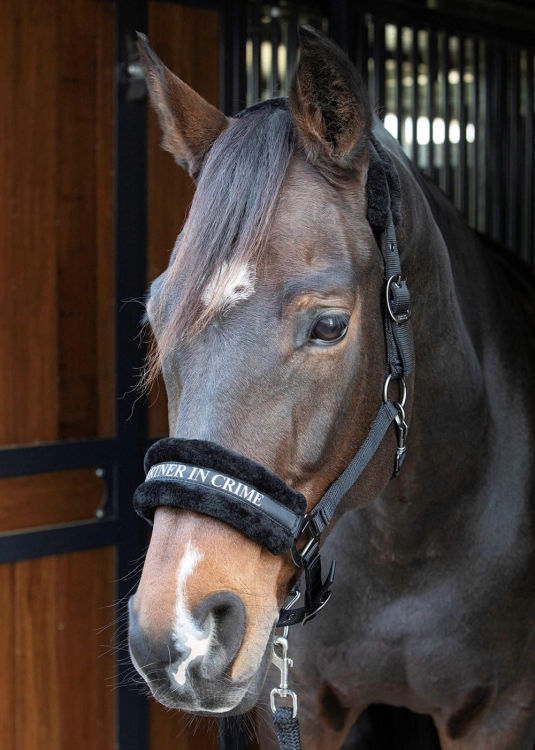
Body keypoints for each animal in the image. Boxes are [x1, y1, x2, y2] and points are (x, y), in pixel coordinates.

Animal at [128, 26, 535, 749]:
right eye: (156, 313)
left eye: (328, 325)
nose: (180, 640)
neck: (412, 543)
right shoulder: (299, 708)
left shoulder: (501, 713)